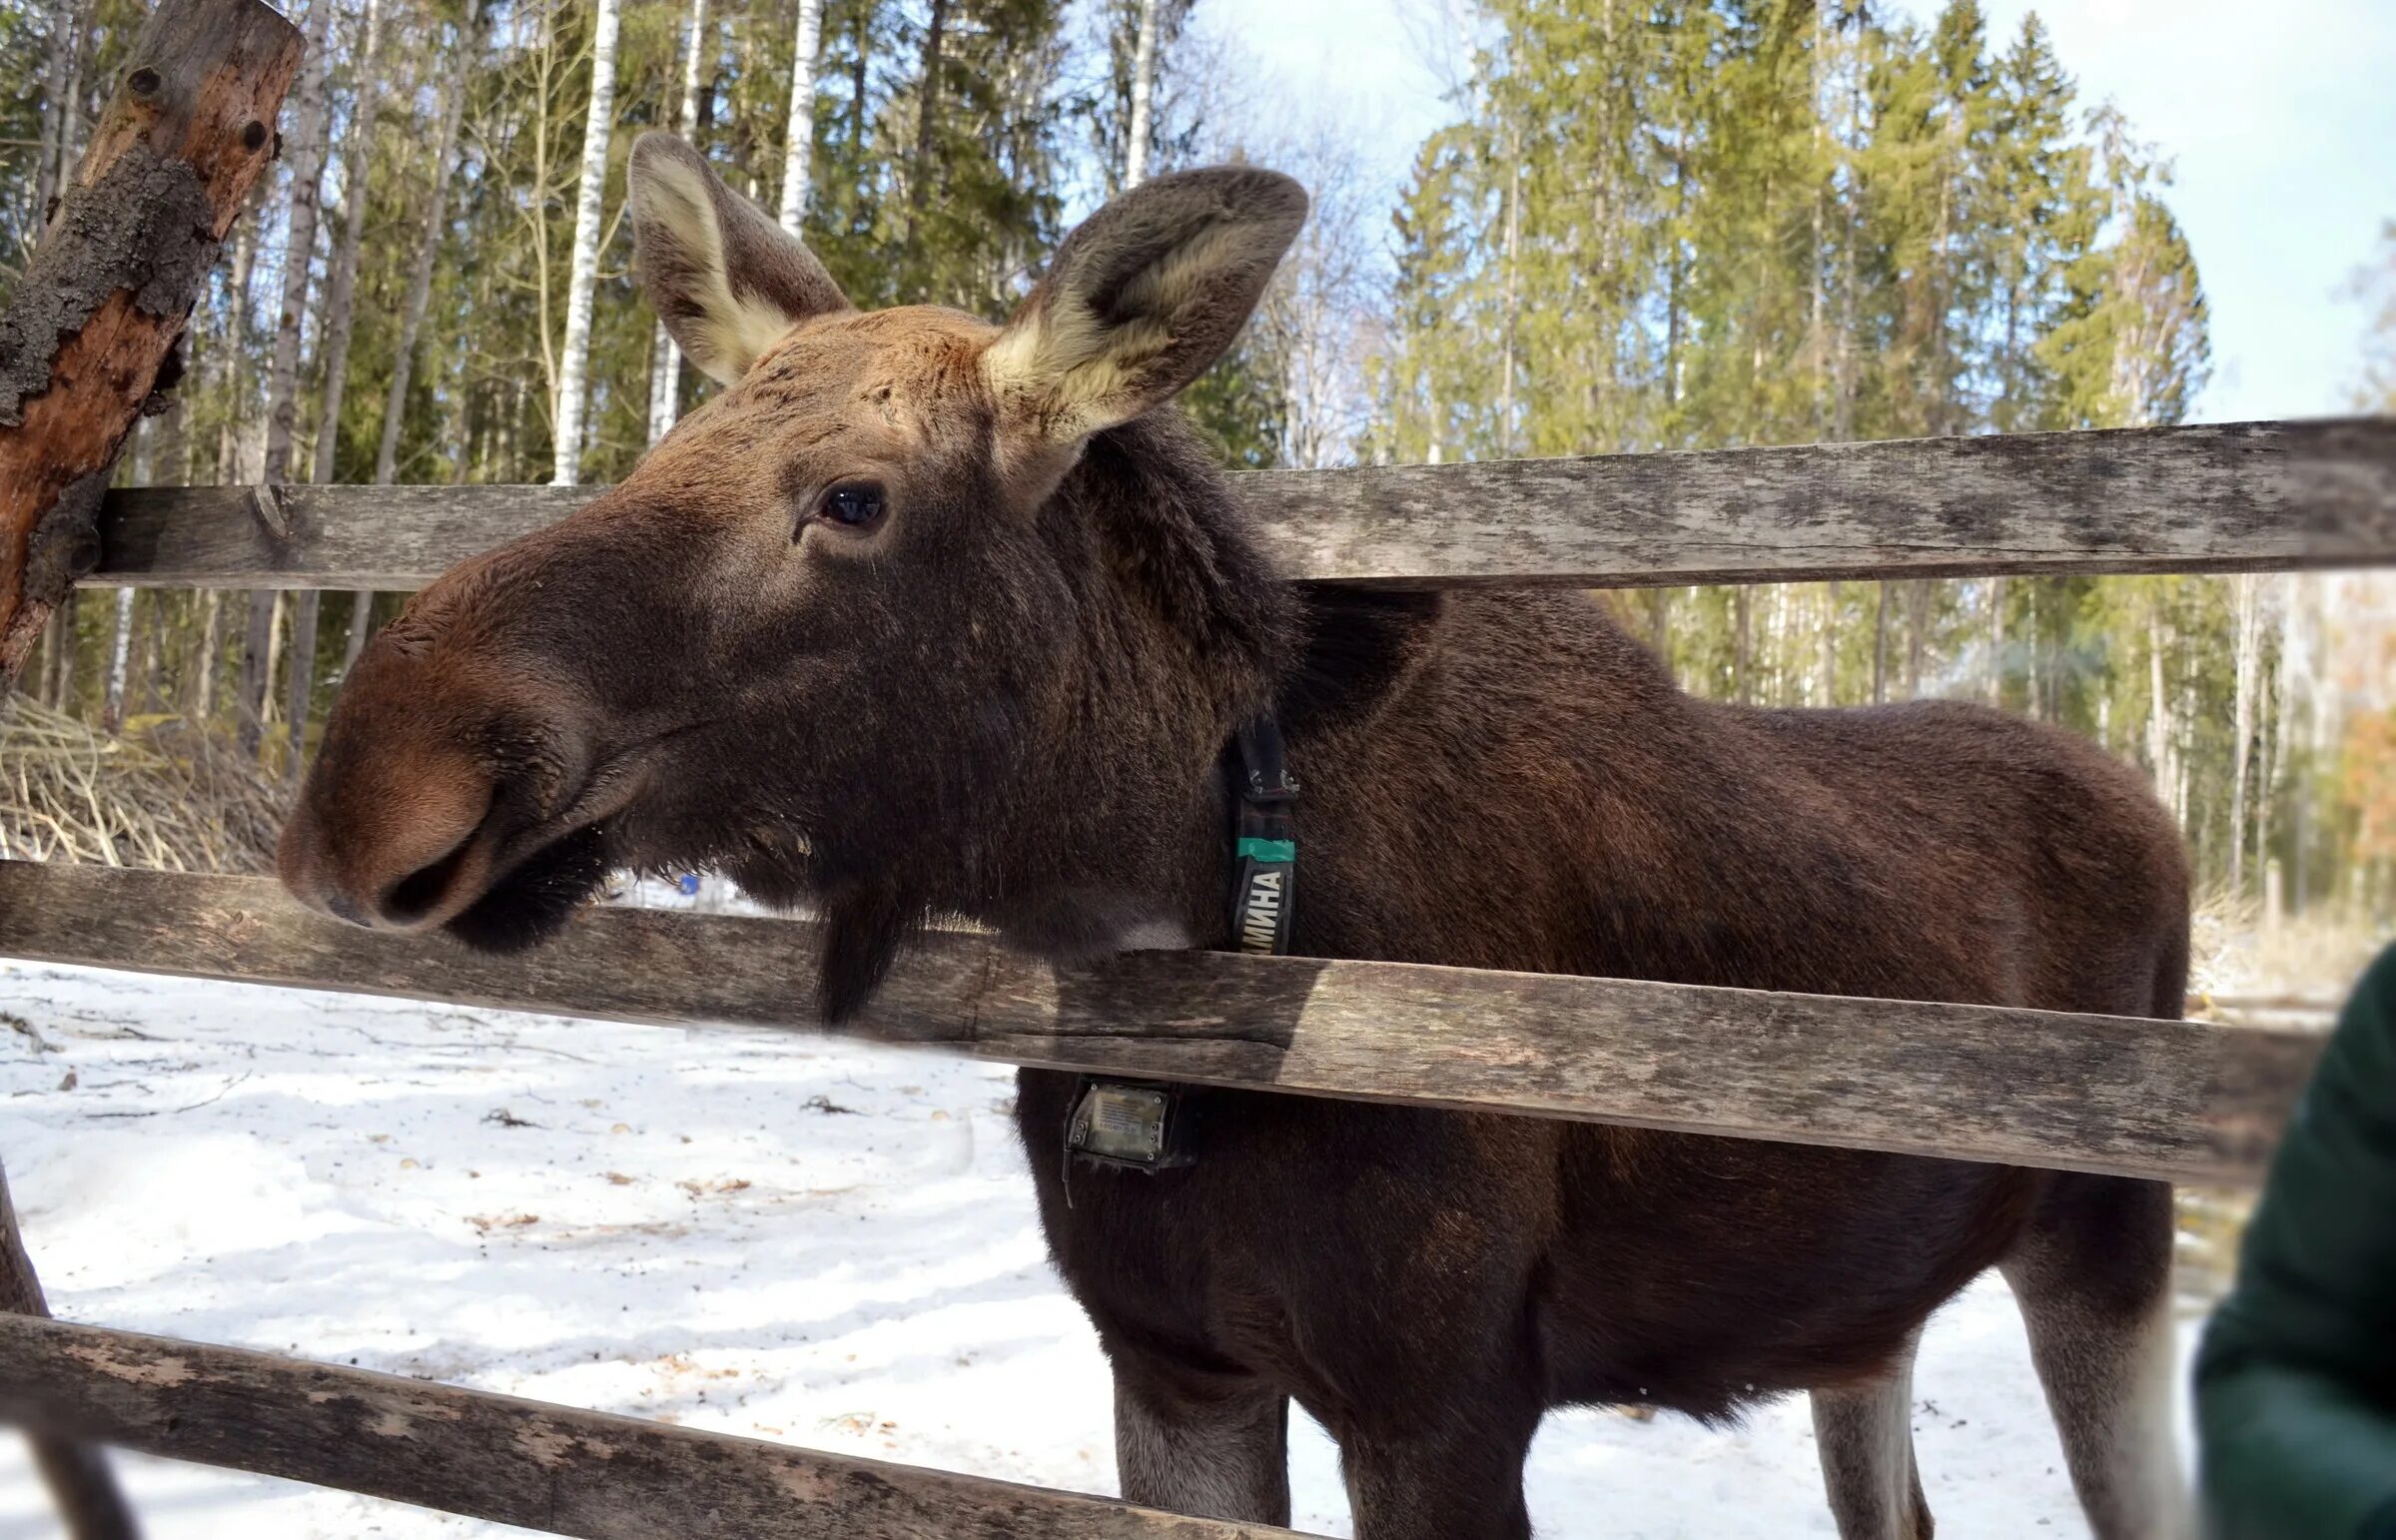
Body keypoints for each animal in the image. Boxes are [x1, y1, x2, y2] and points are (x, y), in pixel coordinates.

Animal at [275, 135, 2194, 1540]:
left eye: (853, 497)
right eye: (668, 442)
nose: (375, 782)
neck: (1175, 915)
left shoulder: (1440, 1401)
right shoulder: (1174, 1362)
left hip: (2105, 1252)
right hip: (1862, 1314)